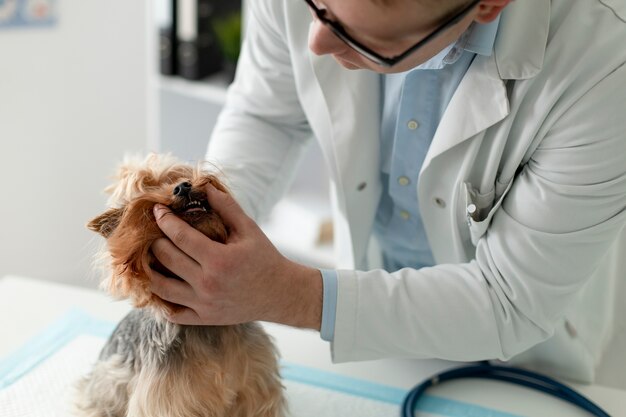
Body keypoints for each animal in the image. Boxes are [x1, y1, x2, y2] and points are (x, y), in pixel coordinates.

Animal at [75, 154, 286, 416]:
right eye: (147, 204)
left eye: (177, 177)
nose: (183, 187)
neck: (208, 327)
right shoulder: (172, 400)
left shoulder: (256, 386)